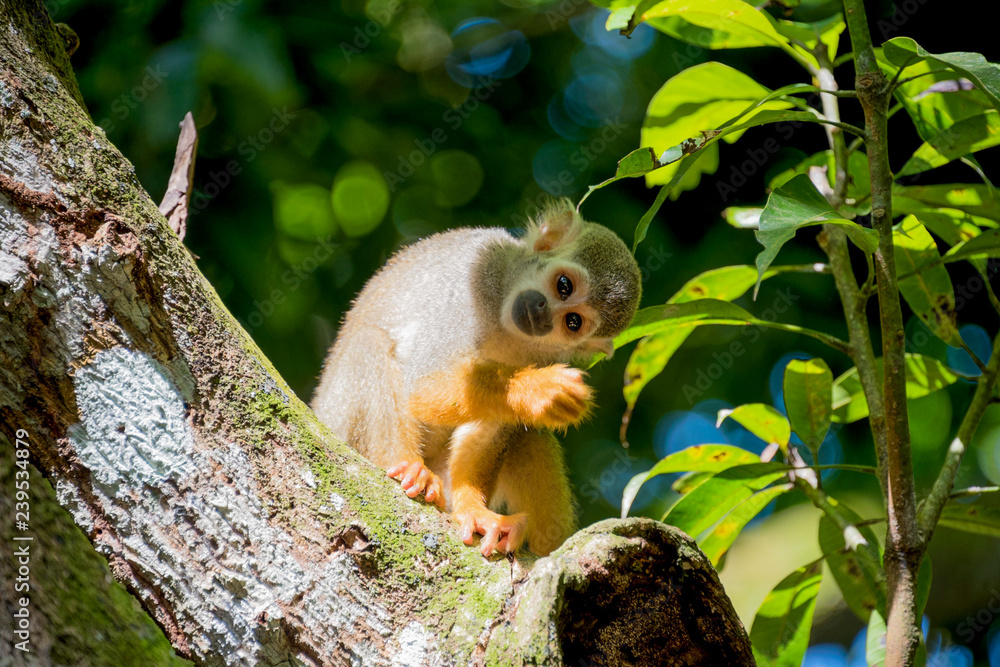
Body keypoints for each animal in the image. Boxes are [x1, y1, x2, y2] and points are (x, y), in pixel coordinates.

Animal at [311, 198, 641, 557]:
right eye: (563, 285)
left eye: (573, 322)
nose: (541, 313)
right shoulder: (478, 274)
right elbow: (423, 385)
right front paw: (539, 390)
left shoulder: (548, 355)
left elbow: (493, 425)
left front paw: (474, 509)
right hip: (338, 419)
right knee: (367, 343)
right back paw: (405, 465)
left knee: (529, 435)